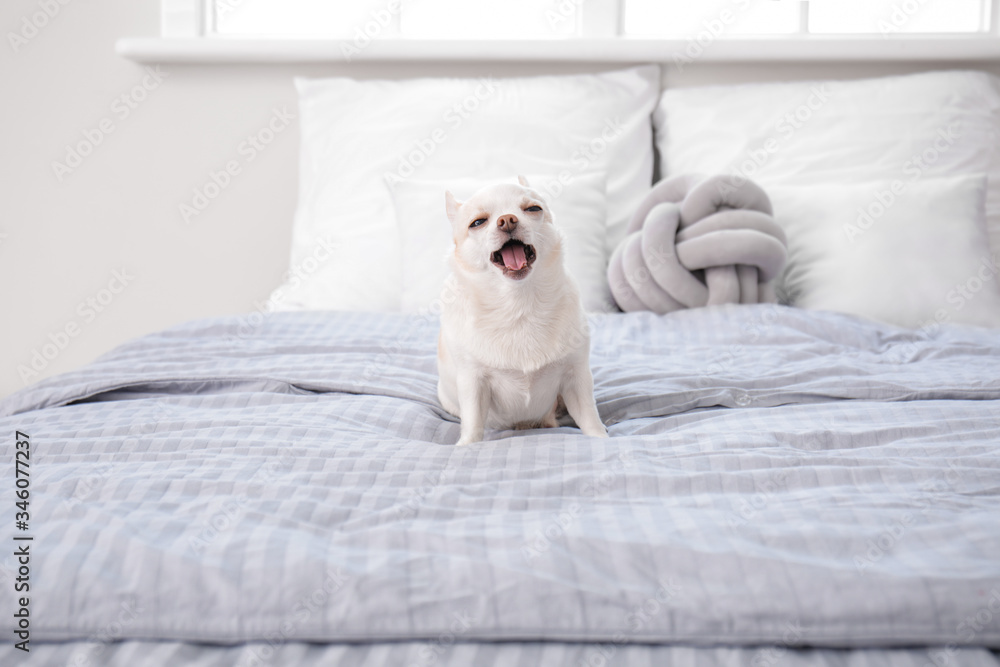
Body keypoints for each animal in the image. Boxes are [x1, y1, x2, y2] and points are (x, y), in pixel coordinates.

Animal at [440, 177, 608, 448]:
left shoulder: (576, 377)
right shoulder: (473, 382)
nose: (507, 219)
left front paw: (601, 438)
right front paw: (466, 446)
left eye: (533, 209)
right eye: (477, 222)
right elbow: (473, 422)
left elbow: (589, 416)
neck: (518, 303)